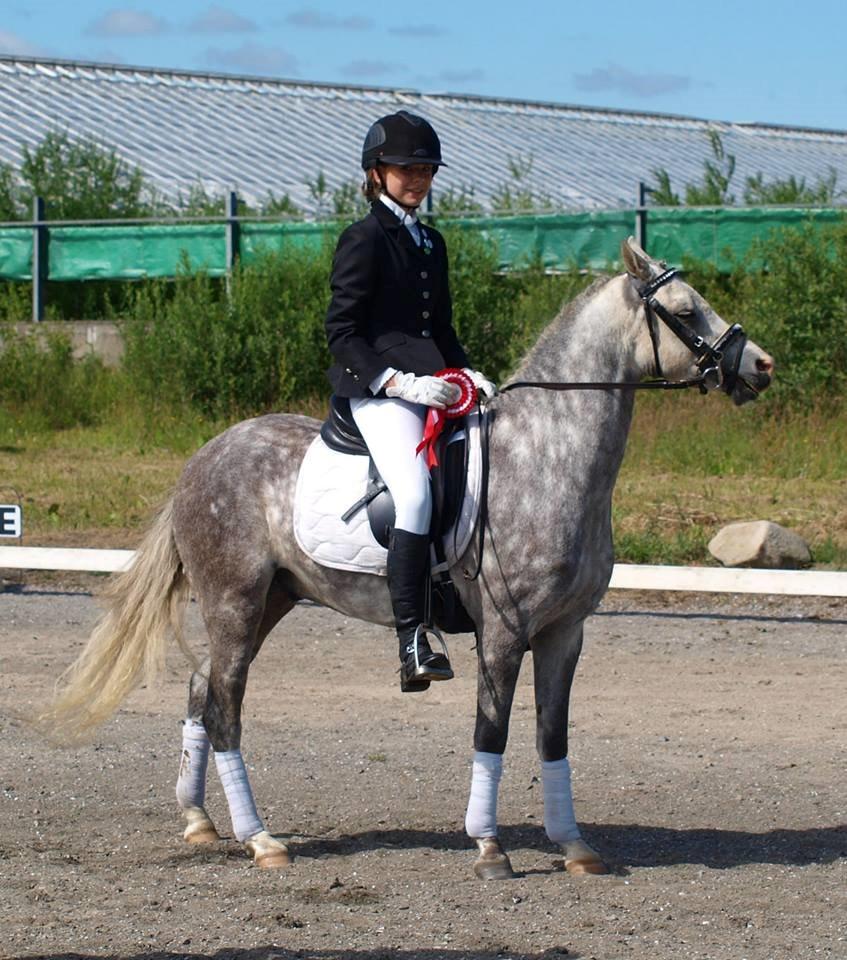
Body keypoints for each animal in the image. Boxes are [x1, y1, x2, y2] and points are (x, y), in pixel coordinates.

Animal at [44, 238, 776, 876]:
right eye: (685, 311)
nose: (760, 366)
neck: (549, 457)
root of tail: (203, 457)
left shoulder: (565, 632)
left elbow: (553, 736)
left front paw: (574, 847)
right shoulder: (504, 630)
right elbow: (492, 731)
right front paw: (488, 847)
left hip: (270, 600)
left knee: (202, 689)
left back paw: (199, 822)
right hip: (234, 600)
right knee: (224, 704)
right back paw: (261, 840)